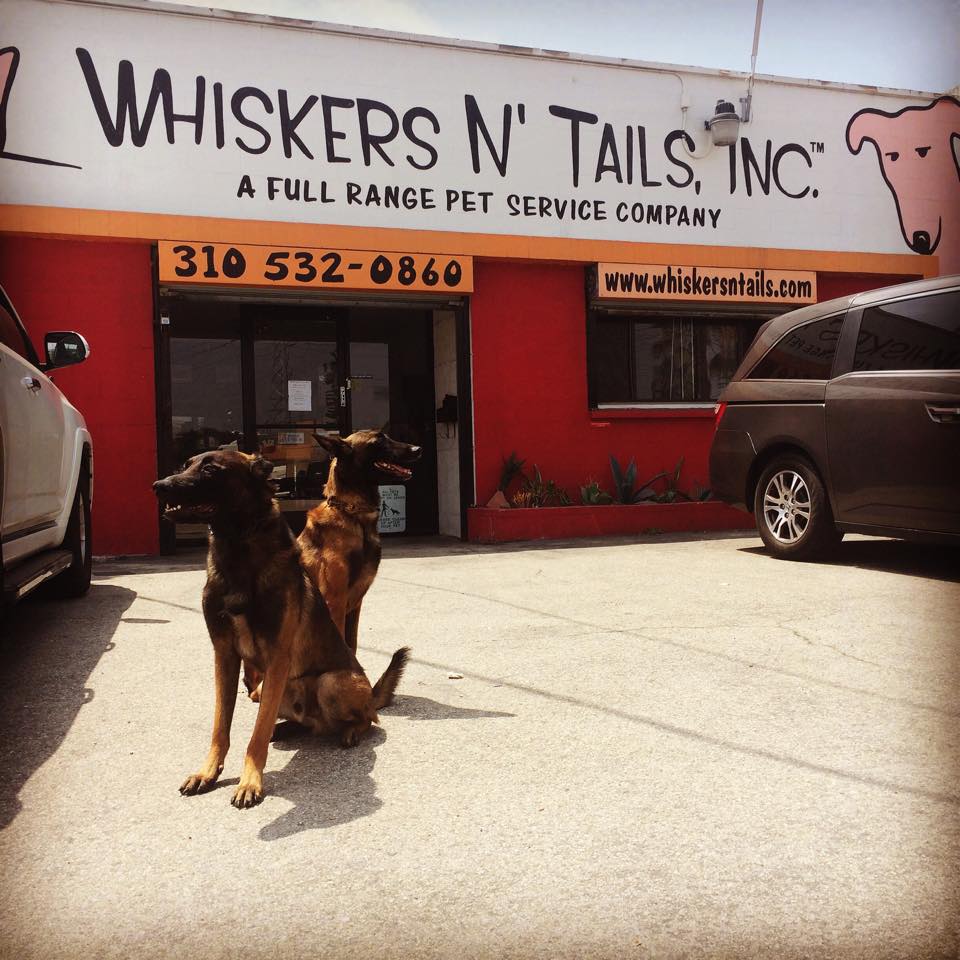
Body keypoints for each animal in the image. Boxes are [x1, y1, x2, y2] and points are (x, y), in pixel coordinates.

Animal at [153, 449, 408, 808]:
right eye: (186, 465)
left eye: (211, 469)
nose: (159, 486)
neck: (237, 550)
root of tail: (371, 693)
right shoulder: (224, 656)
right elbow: (220, 725)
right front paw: (208, 772)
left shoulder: (276, 659)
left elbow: (256, 734)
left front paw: (249, 781)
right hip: (268, 689)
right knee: (301, 722)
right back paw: (288, 728)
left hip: (330, 682)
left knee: (369, 719)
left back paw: (351, 730)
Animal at [299, 429, 422, 654]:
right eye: (378, 440)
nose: (418, 449)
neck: (352, 512)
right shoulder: (335, 601)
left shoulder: (355, 605)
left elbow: (352, 645)